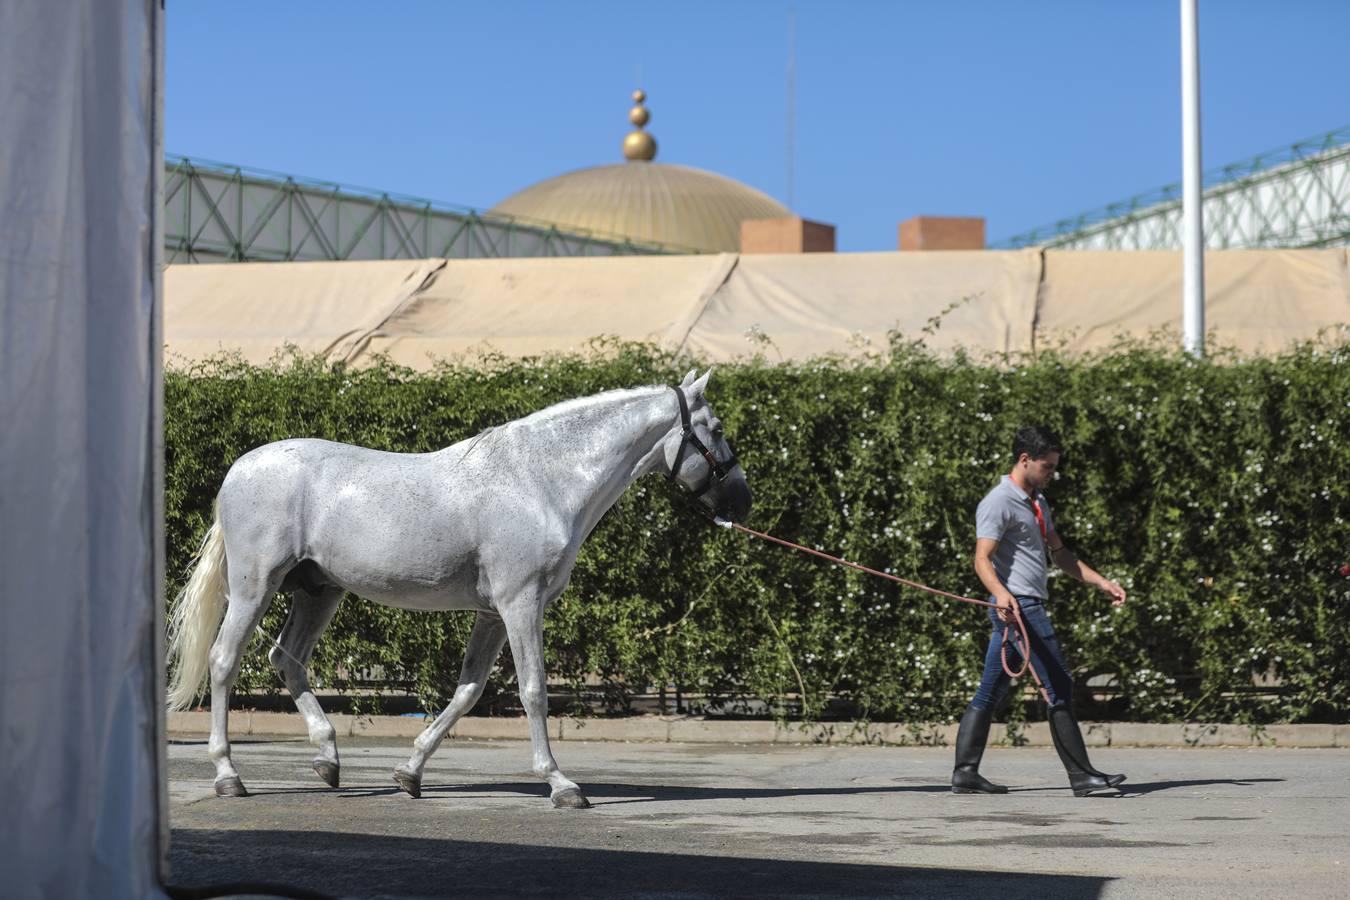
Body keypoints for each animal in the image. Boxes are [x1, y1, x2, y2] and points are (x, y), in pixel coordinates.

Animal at [167, 369, 750, 804]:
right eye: (718, 428)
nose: (742, 503)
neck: (539, 480)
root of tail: (238, 470)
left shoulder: (493, 613)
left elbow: (468, 691)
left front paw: (410, 772)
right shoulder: (521, 604)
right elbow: (533, 690)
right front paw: (562, 785)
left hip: (319, 591)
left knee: (286, 659)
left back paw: (328, 759)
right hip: (255, 588)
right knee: (225, 661)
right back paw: (229, 776)